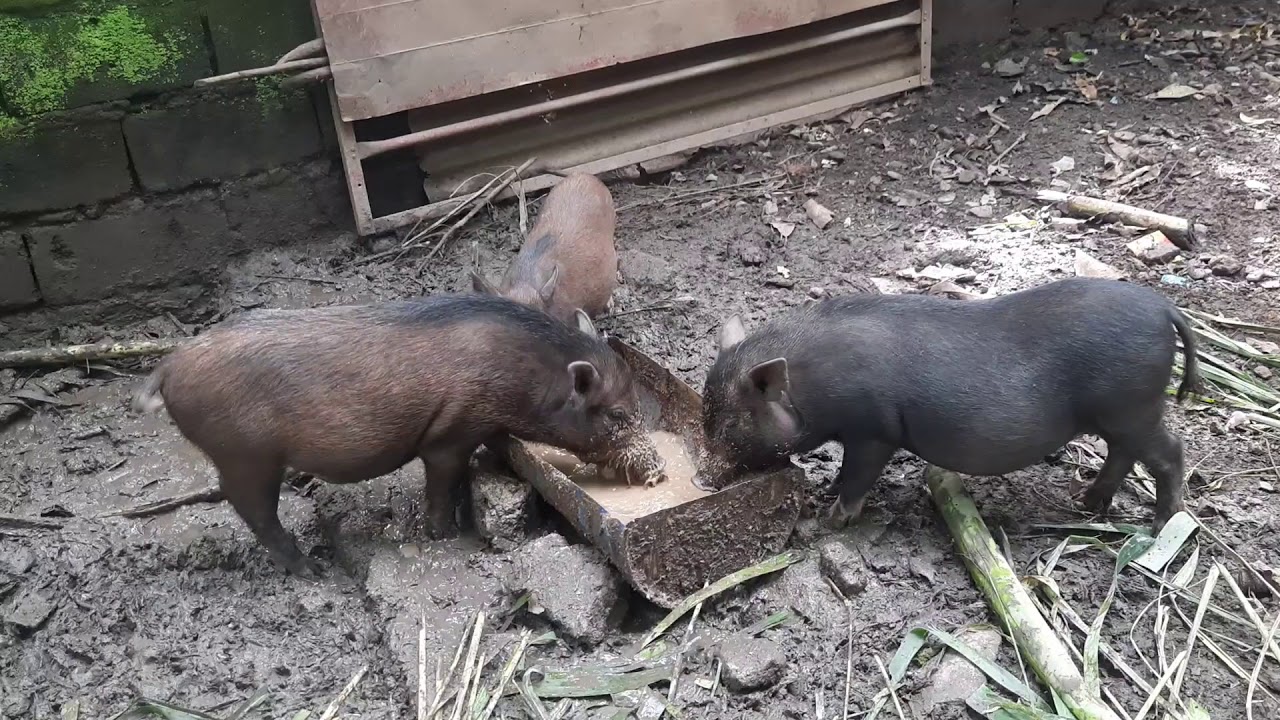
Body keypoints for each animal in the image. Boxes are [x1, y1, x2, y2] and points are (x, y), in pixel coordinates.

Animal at [131, 294, 665, 578]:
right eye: (619, 414)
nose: (658, 471)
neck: (525, 378)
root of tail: (168, 367)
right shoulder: (451, 432)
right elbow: (443, 479)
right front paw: (444, 534)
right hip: (247, 455)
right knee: (252, 509)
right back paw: (312, 569)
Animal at [697, 278, 1199, 532]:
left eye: (732, 425)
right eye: (705, 413)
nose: (700, 479)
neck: (811, 384)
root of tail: (1164, 309)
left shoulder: (873, 431)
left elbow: (858, 475)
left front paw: (832, 519)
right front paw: (826, 494)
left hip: (1133, 406)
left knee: (1169, 451)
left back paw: (1162, 525)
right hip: (1121, 415)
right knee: (1125, 454)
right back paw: (1085, 502)